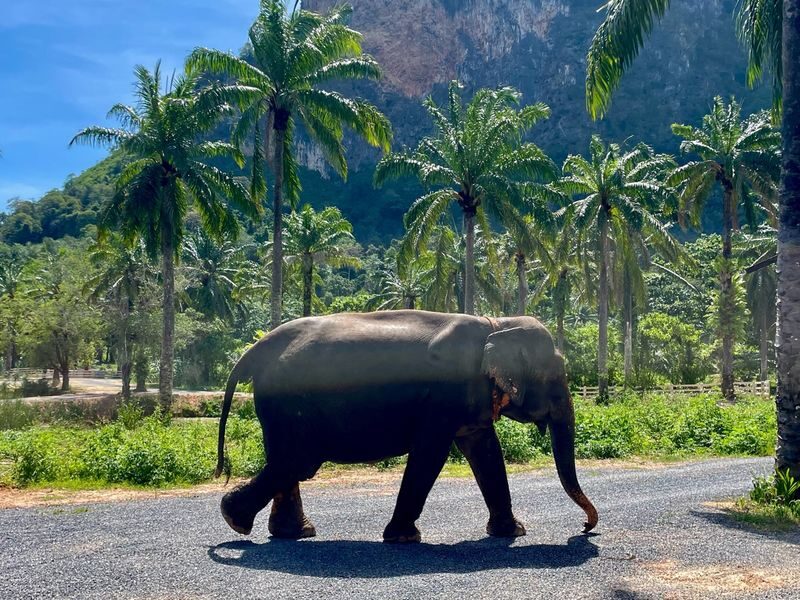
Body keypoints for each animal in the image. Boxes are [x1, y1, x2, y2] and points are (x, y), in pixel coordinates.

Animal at [215, 310, 598, 543]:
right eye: (557, 377)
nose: (585, 527)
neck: (497, 323)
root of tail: (255, 350)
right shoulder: (445, 396)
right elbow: (431, 452)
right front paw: (403, 538)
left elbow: (486, 450)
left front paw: (511, 532)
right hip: (288, 401)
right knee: (298, 461)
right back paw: (236, 519)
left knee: (286, 461)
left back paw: (291, 533)